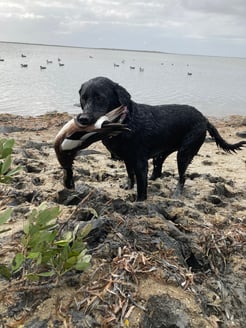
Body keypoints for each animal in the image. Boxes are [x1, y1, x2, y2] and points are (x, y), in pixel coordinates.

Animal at [78, 76, 245, 200]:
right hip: (161, 154)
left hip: (184, 153)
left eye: (100, 98)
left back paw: (177, 193)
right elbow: (130, 175)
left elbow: (141, 187)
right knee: (158, 170)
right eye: (83, 98)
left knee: (182, 177)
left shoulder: (140, 162)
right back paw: (154, 178)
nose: (83, 119)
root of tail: (204, 118)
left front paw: (139, 201)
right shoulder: (128, 159)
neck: (126, 122)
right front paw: (128, 186)